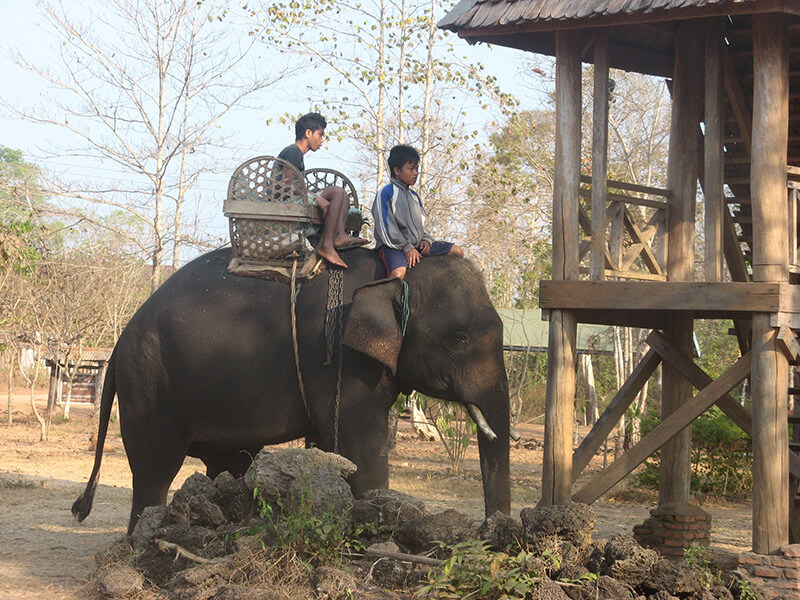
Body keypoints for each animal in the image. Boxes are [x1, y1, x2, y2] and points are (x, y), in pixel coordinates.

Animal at [72, 246, 510, 532]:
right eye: (458, 338)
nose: (488, 531)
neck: (392, 272)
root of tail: (120, 341)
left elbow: (329, 445)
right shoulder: (341, 359)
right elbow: (358, 446)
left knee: (229, 463)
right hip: (148, 384)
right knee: (154, 469)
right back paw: (139, 543)